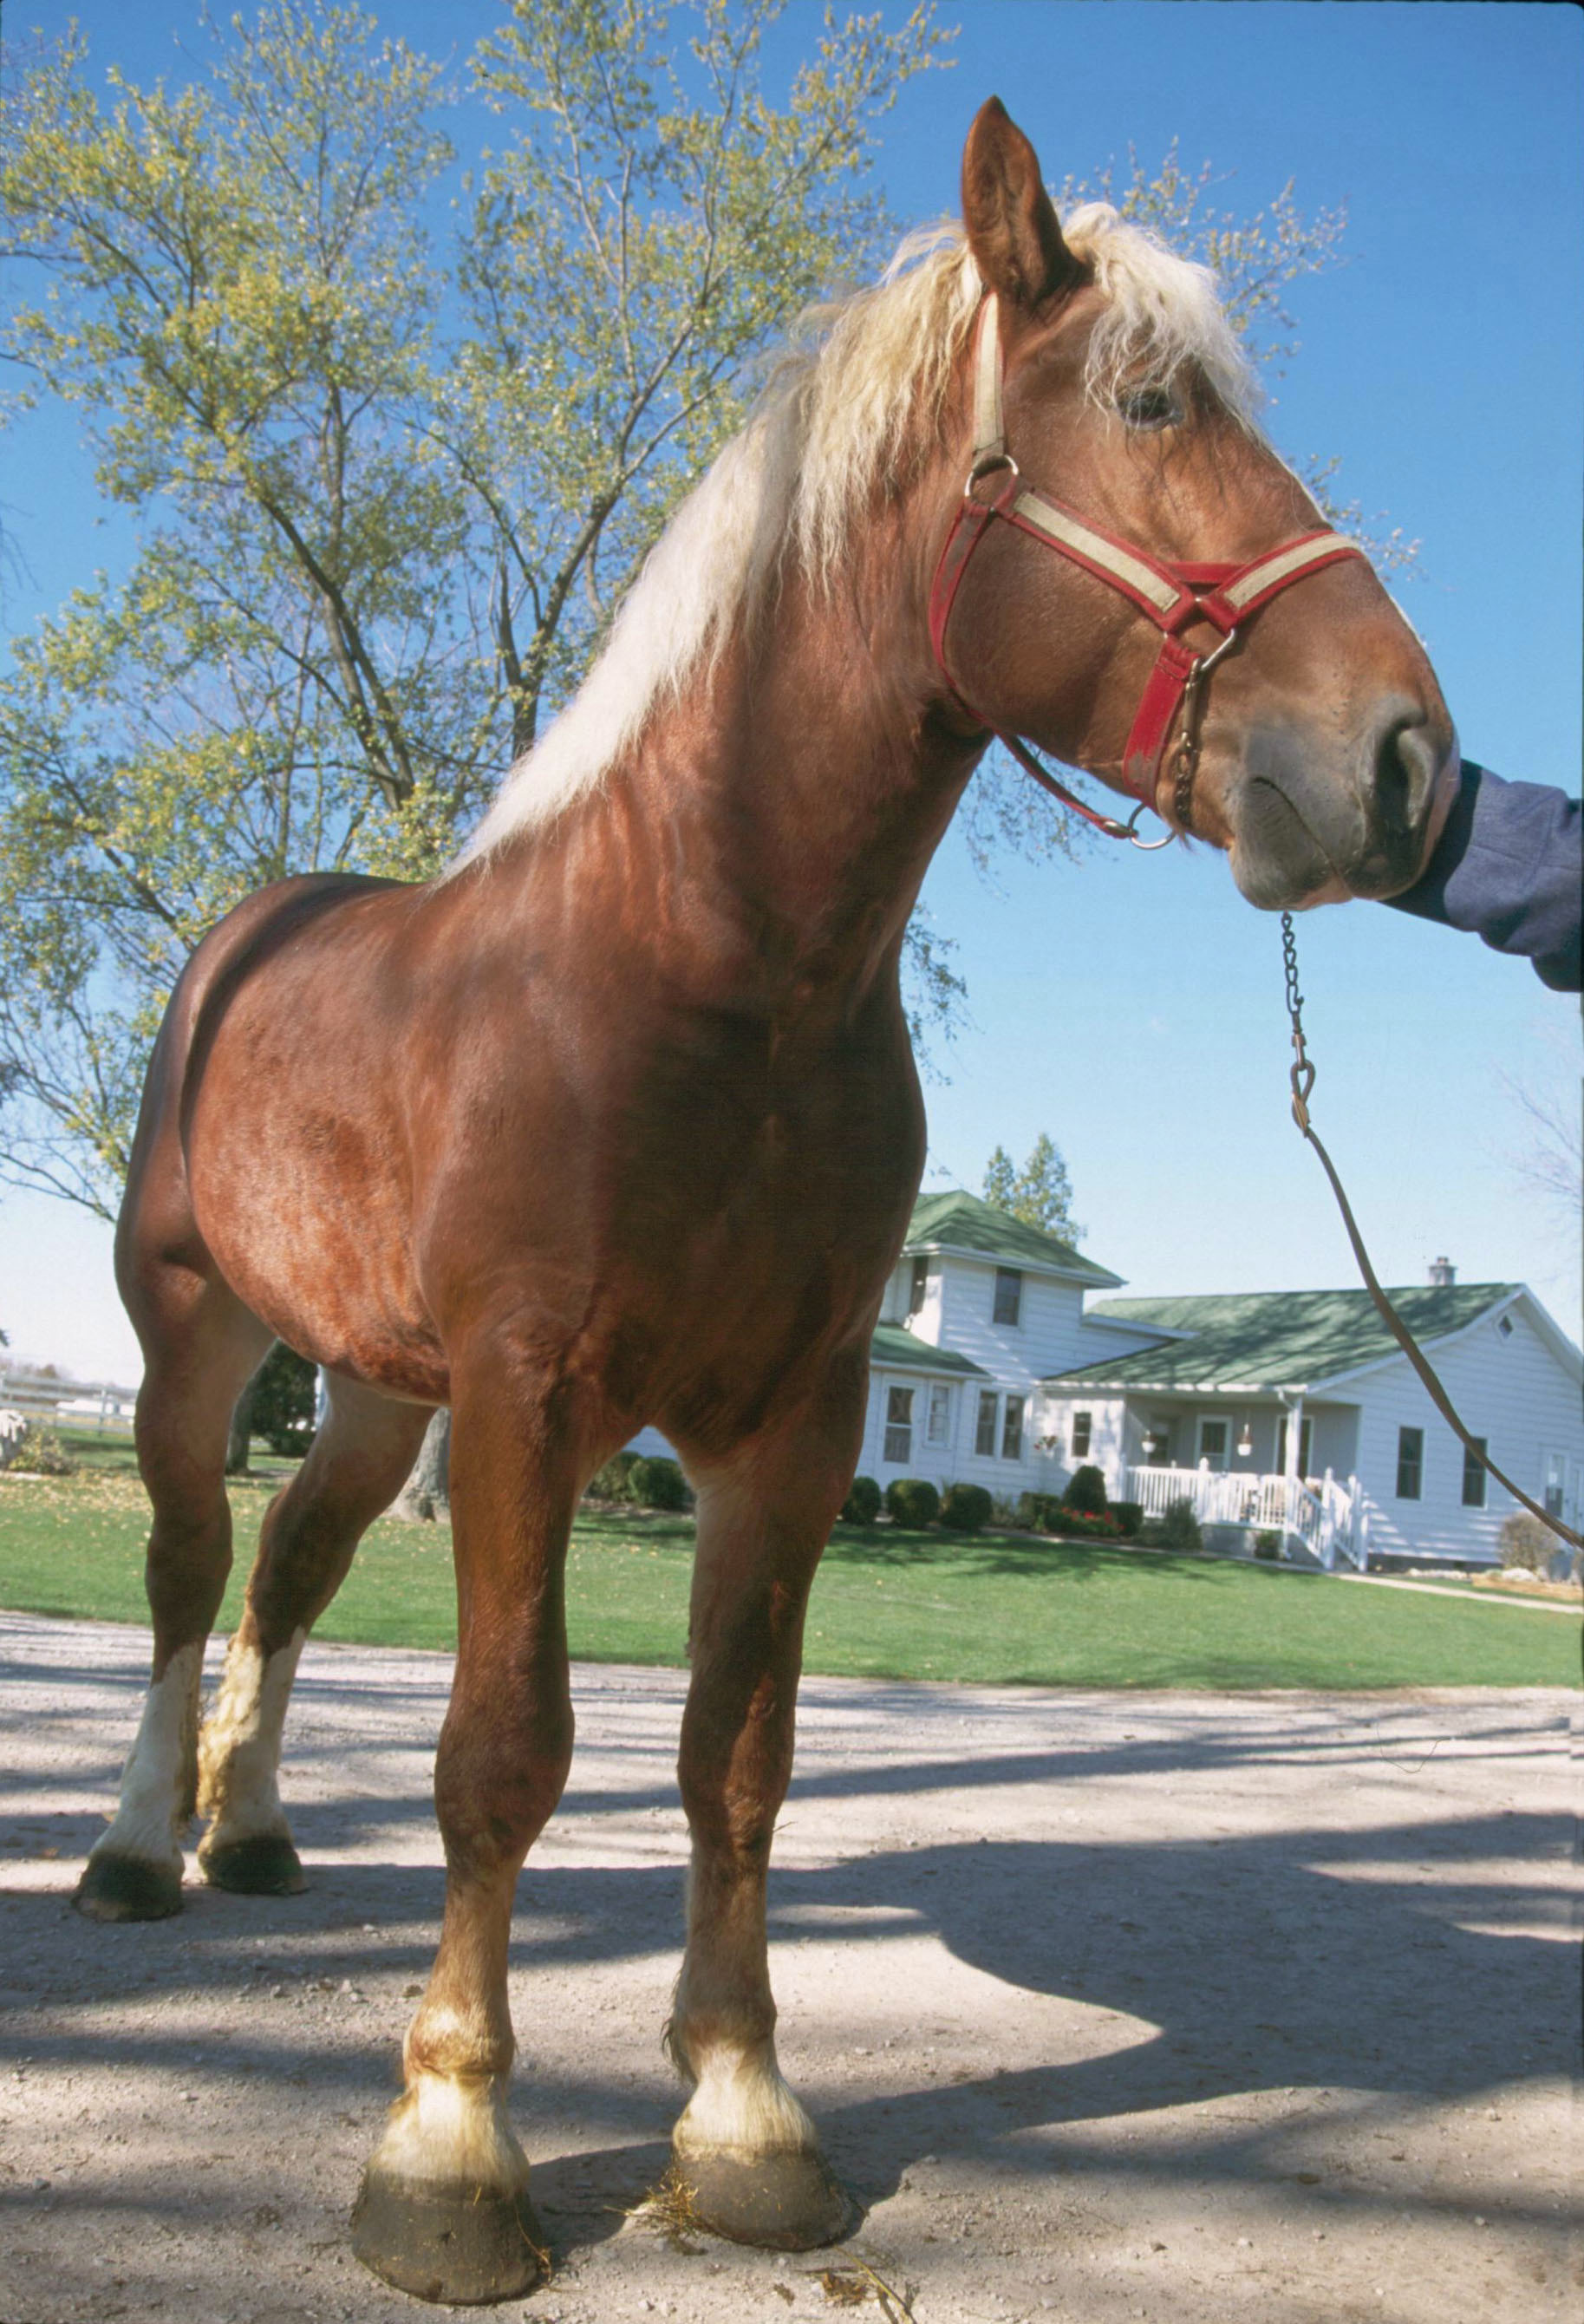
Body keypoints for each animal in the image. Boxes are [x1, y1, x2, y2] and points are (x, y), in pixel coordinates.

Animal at [77, 95, 1458, 2305]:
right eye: (1150, 401)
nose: (1404, 759)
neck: (706, 970)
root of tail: (253, 927)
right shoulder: (532, 1399)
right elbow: (502, 1748)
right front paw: (449, 2145)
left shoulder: (789, 1418)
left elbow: (738, 1755)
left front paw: (741, 2119)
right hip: (197, 1338)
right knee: (192, 1569)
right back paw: (137, 1847)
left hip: (371, 1388)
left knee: (288, 1576)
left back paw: (262, 1830)